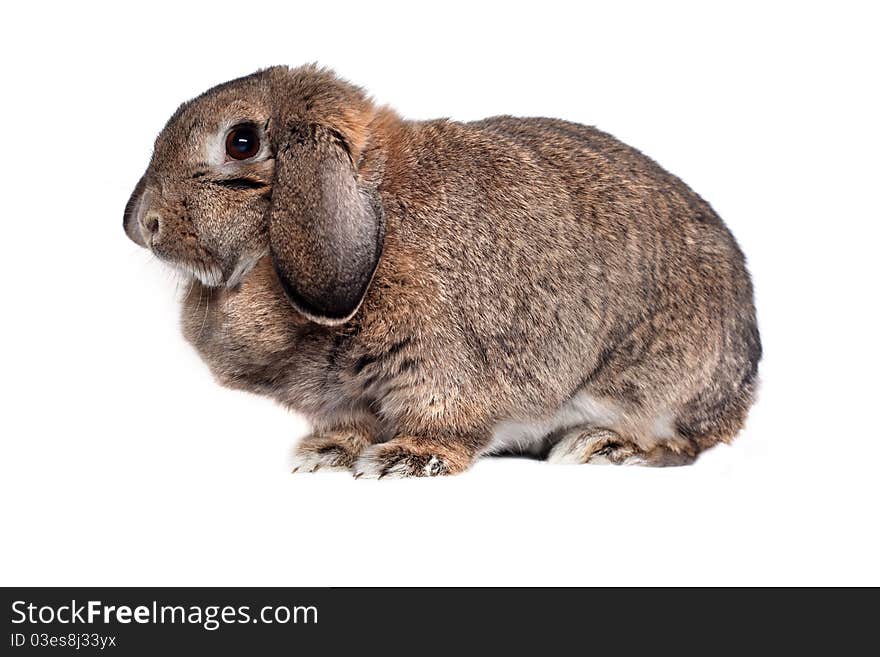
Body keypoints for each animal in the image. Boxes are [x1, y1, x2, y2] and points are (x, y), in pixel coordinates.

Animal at [120, 64, 760, 476]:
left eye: (242, 142)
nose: (140, 224)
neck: (380, 210)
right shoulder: (347, 396)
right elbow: (349, 424)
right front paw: (326, 453)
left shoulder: (440, 366)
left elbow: (447, 422)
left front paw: (405, 460)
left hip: (660, 386)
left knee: (680, 445)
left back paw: (602, 447)